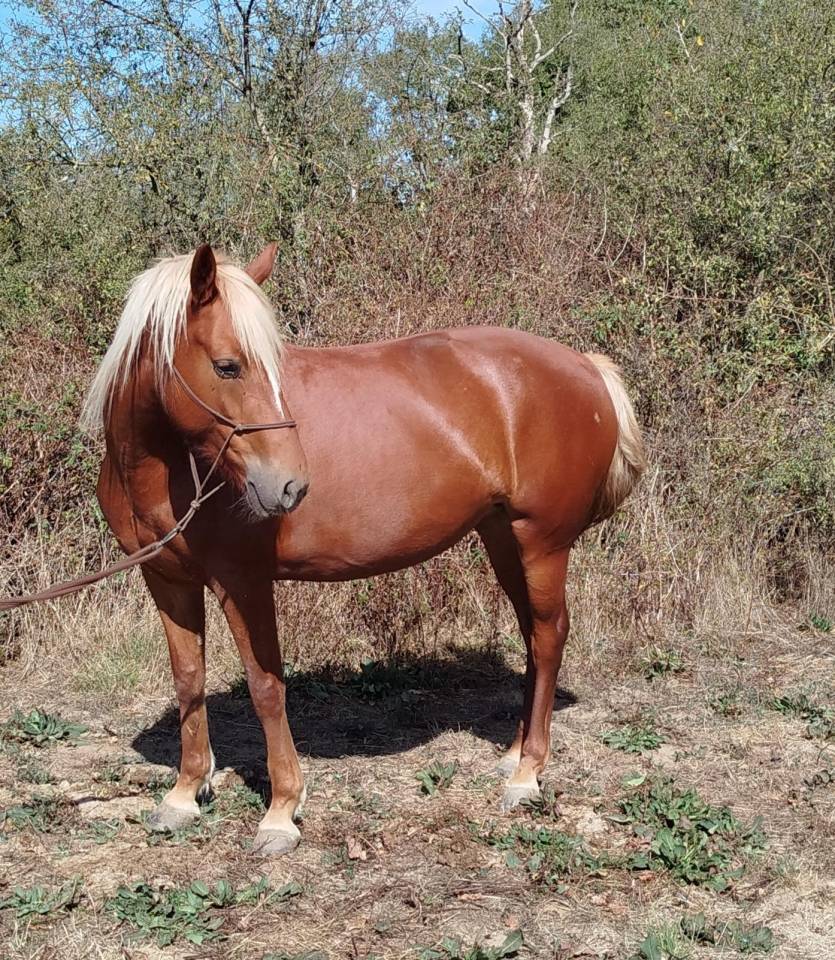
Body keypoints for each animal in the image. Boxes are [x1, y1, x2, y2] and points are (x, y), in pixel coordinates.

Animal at [81, 242, 645, 856]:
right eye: (228, 366)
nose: (289, 486)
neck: (169, 470)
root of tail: (584, 365)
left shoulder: (243, 582)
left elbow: (265, 686)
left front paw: (281, 811)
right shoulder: (167, 579)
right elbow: (189, 679)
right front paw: (184, 795)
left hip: (541, 542)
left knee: (548, 635)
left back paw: (527, 776)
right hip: (503, 538)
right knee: (532, 636)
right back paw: (516, 755)